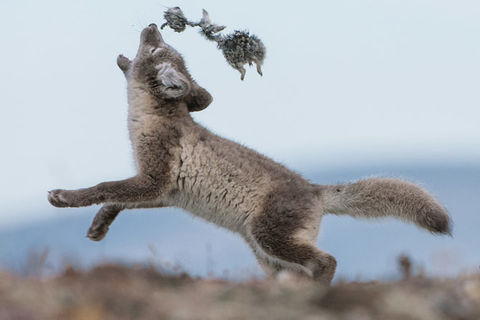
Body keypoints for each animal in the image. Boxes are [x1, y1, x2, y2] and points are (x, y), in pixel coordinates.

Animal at [48, 25, 450, 284]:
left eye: (156, 49)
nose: (150, 24)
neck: (150, 117)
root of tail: (316, 190)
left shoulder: (153, 179)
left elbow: (103, 187)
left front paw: (64, 197)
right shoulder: (163, 193)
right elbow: (116, 200)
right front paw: (99, 226)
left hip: (268, 238)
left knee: (328, 261)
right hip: (267, 256)